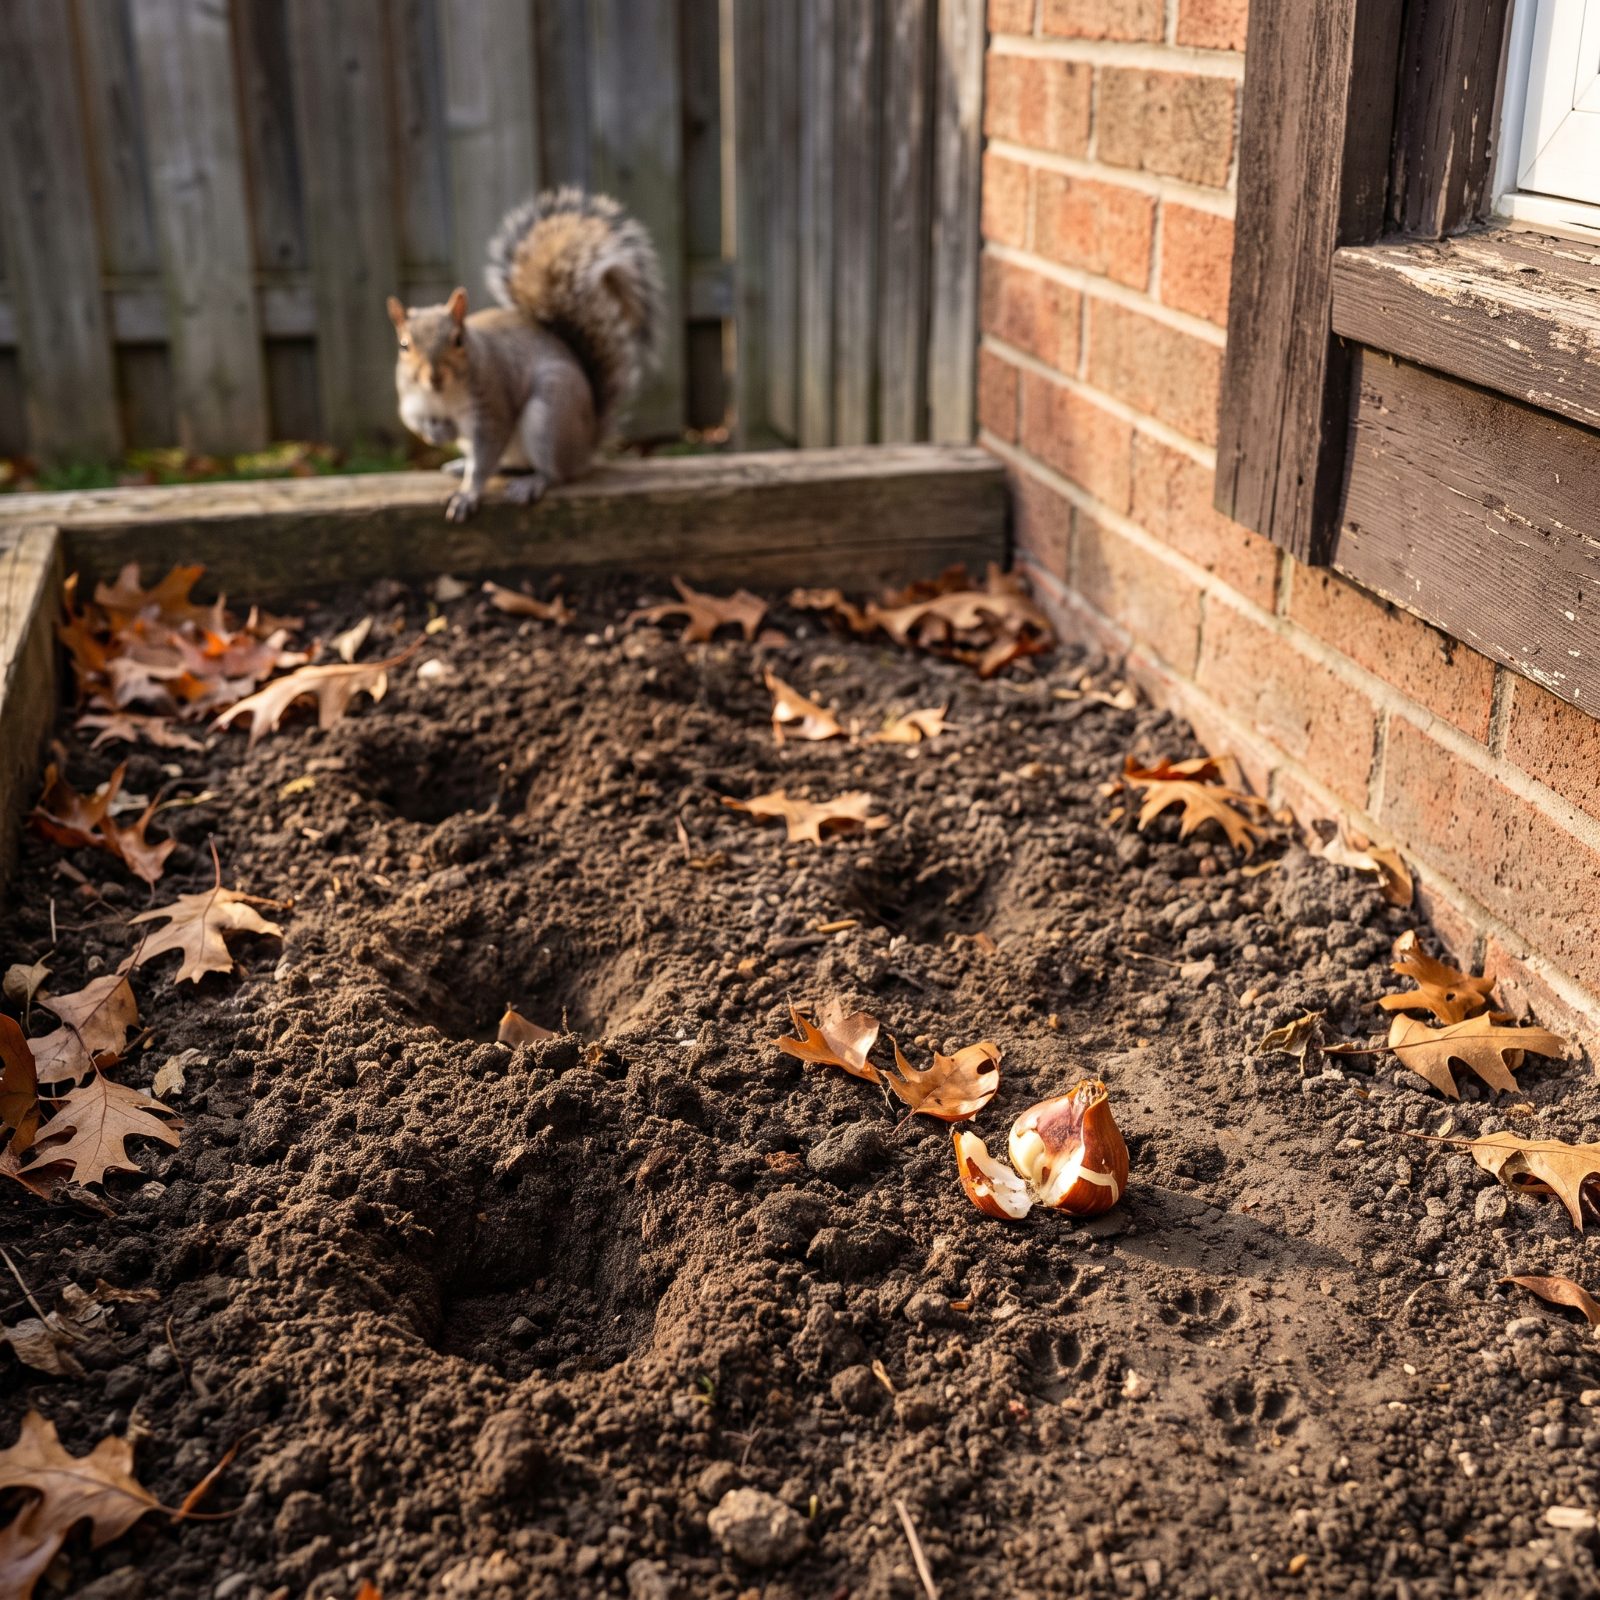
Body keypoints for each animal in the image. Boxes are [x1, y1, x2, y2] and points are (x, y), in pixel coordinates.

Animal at [386, 188, 663, 523]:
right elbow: (412, 419)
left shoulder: (491, 405)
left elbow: (486, 453)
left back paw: (533, 482)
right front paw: (439, 432)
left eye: (458, 340)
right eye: (404, 345)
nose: (434, 378)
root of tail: (586, 444)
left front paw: (467, 494)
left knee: (555, 473)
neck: (444, 397)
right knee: (508, 464)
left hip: (551, 414)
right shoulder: (410, 398)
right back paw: (460, 465)